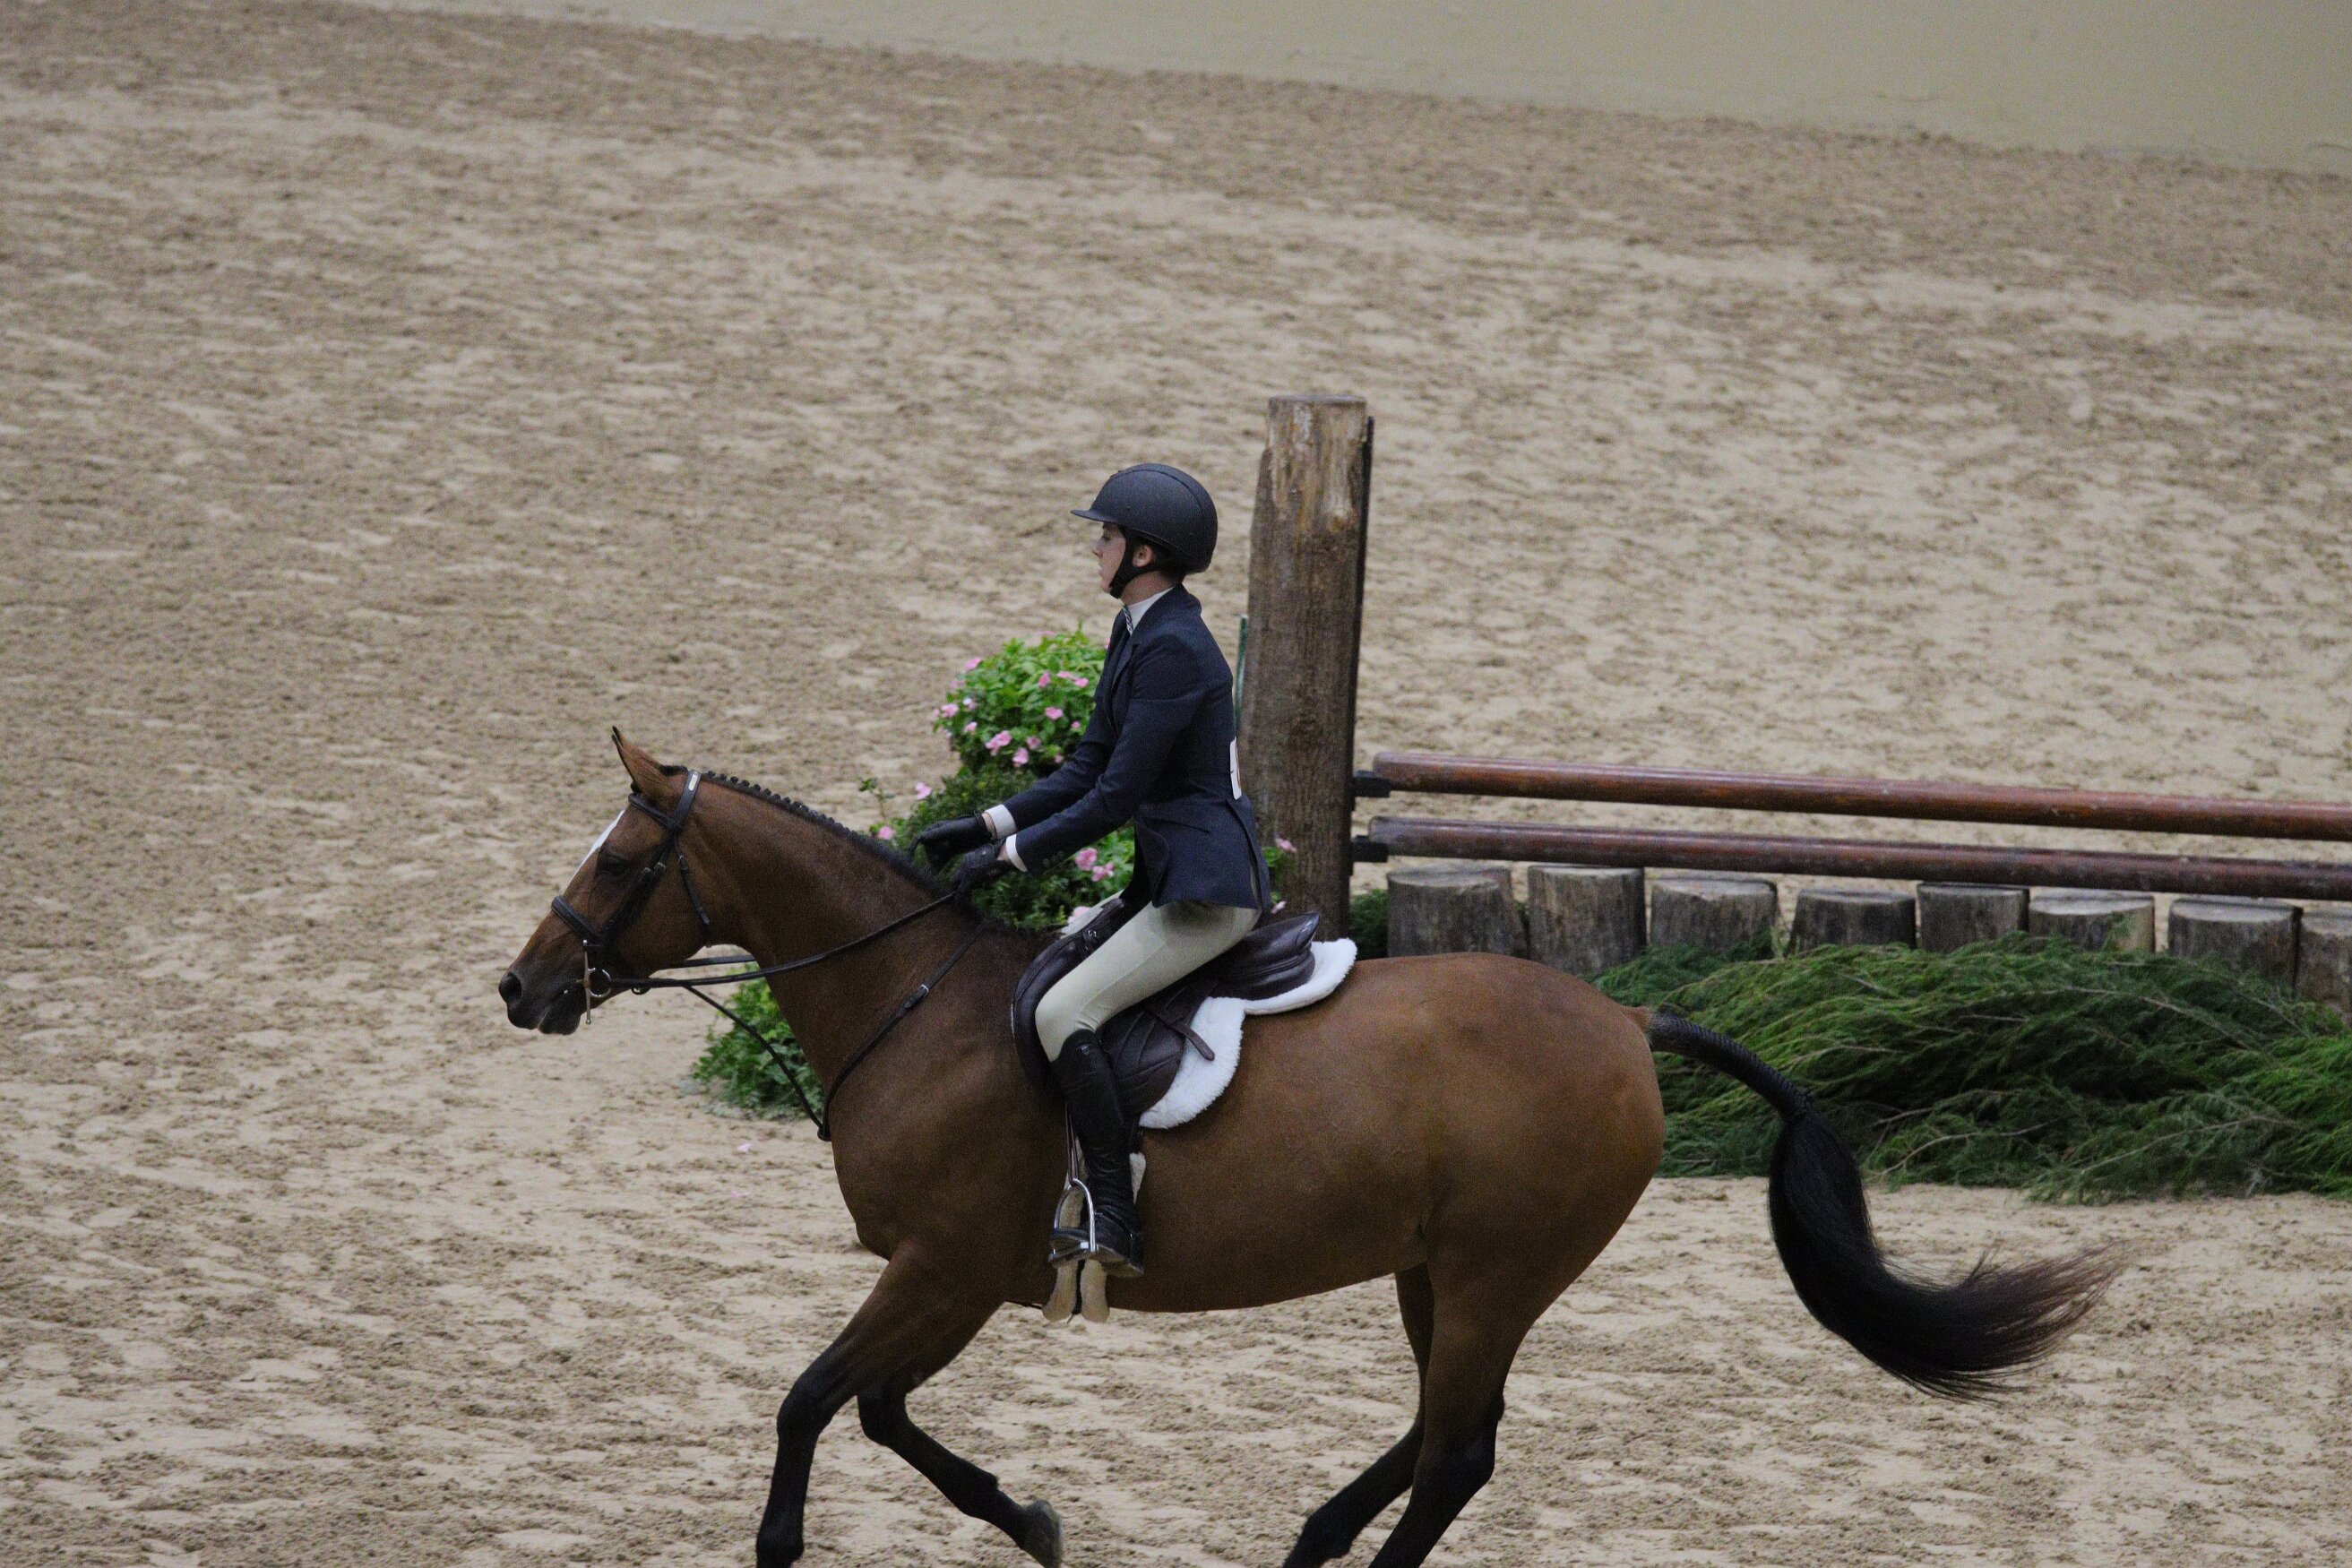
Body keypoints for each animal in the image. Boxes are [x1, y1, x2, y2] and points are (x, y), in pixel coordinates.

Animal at [499, 733, 2115, 1568]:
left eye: (620, 862)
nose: (521, 989)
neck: (918, 1000)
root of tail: (1626, 1017)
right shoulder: (950, 1280)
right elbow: (879, 1412)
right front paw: (1032, 1519)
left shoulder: (942, 1267)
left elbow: (813, 1400)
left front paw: (809, 1537)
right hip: (1437, 1269)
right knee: (1447, 1431)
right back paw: (1310, 1543)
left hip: (1492, 1271)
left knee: (1457, 1451)